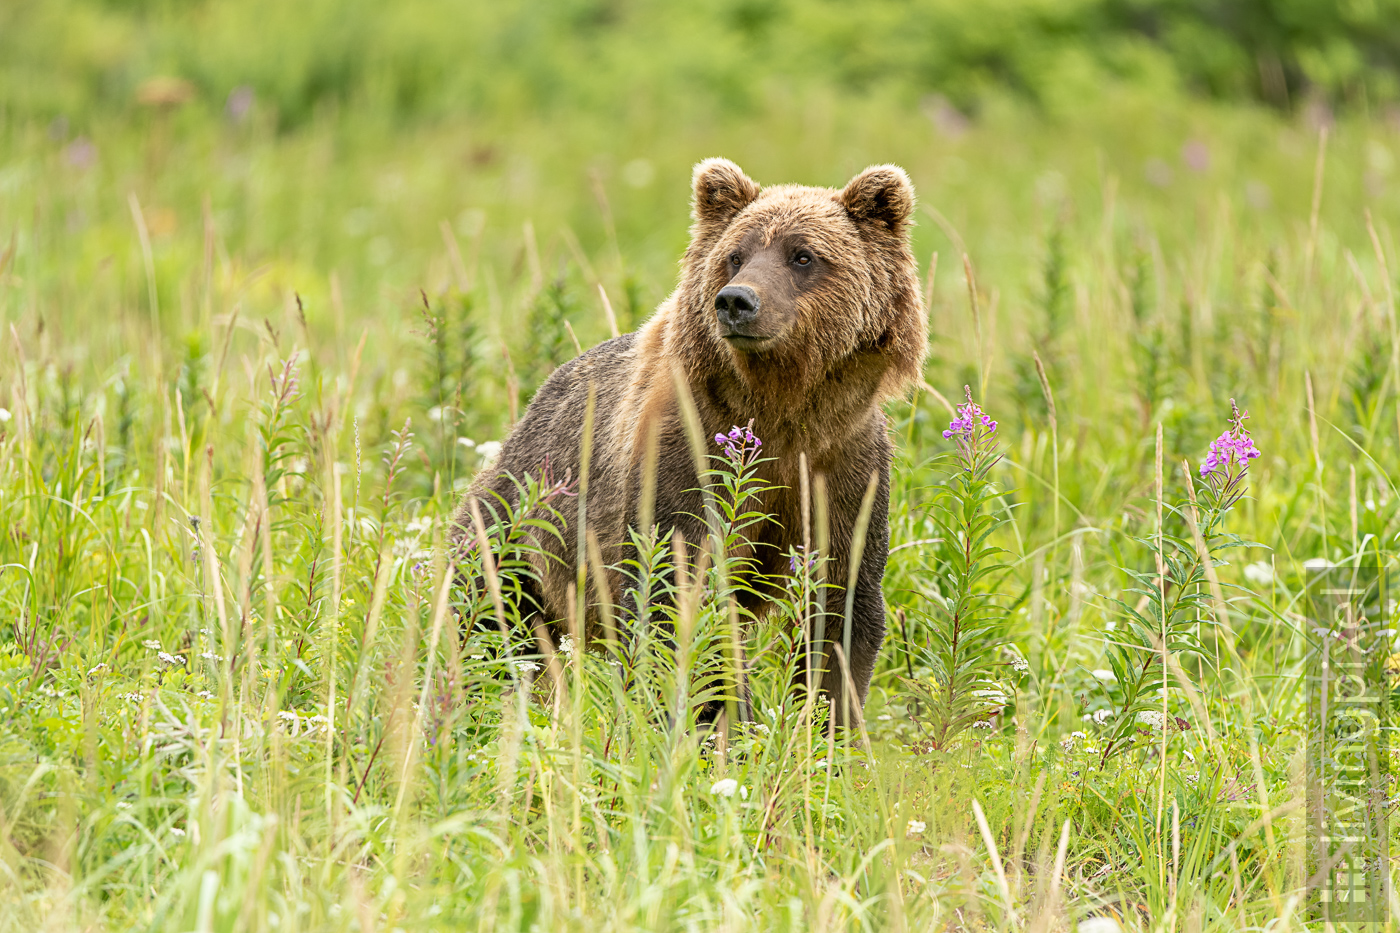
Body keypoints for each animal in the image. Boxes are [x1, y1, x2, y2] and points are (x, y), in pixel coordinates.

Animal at [453, 158, 924, 717]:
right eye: (735, 255)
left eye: (803, 255)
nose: (737, 300)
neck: (781, 407)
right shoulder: (686, 453)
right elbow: (679, 591)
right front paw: (722, 718)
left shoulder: (843, 462)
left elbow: (841, 598)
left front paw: (826, 721)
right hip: (520, 524)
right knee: (483, 612)